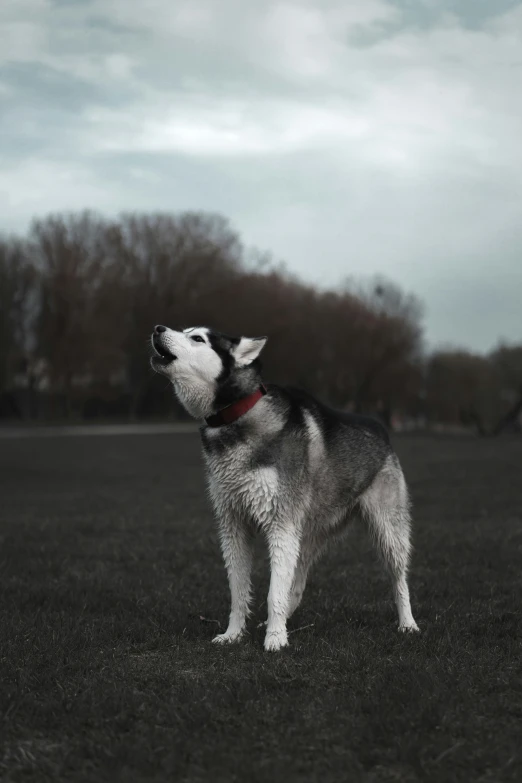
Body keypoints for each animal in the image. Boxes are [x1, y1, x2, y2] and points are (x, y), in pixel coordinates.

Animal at [150, 322, 418, 652]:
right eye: (184, 330)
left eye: (198, 338)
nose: (158, 328)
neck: (236, 415)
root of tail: (380, 426)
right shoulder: (233, 526)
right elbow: (239, 592)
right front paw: (234, 634)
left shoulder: (280, 524)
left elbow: (273, 592)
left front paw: (275, 639)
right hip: (306, 536)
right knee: (297, 585)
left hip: (388, 530)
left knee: (399, 580)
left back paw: (407, 623)